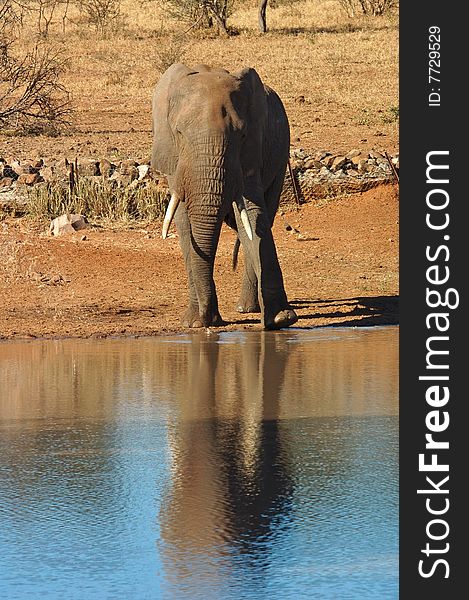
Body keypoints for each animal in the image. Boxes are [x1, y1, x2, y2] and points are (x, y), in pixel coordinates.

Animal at [150, 63, 296, 330]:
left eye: (242, 134)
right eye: (179, 132)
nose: (208, 321)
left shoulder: (250, 153)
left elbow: (252, 214)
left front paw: (282, 319)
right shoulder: (175, 158)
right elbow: (184, 220)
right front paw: (195, 323)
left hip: (280, 156)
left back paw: (247, 308)